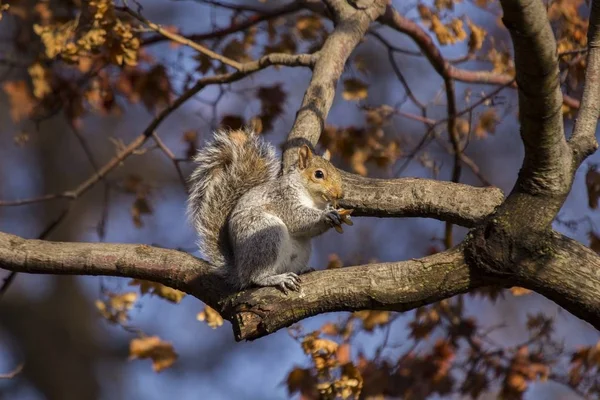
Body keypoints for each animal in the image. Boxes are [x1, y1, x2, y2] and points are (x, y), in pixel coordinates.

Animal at [188, 128, 352, 294]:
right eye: (319, 174)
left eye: (337, 172)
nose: (340, 194)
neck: (313, 199)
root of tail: (240, 271)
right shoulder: (283, 198)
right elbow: (297, 218)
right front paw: (326, 215)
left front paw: (334, 212)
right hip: (266, 234)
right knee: (256, 276)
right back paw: (276, 278)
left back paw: (302, 270)